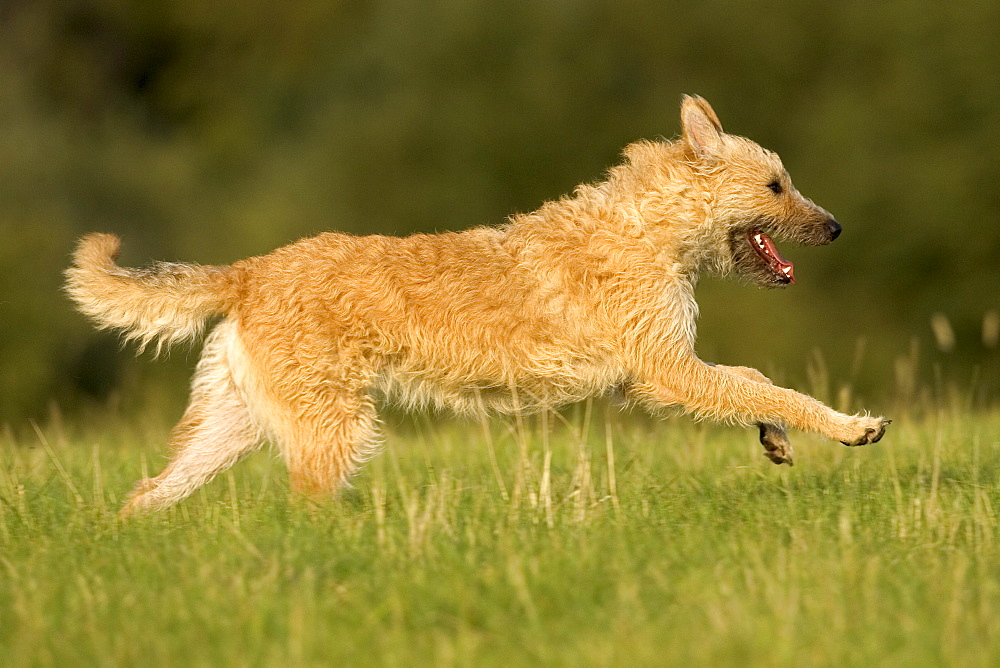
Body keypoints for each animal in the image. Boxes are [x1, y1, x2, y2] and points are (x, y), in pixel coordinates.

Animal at [64, 94, 892, 516]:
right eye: (776, 185)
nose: (836, 227)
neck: (648, 227)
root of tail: (249, 272)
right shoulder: (664, 368)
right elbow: (769, 385)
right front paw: (850, 427)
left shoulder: (660, 369)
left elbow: (754, 380)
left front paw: (777, 439)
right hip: (334, 426)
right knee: (305, 506)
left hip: (232, 422)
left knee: (147, 493)